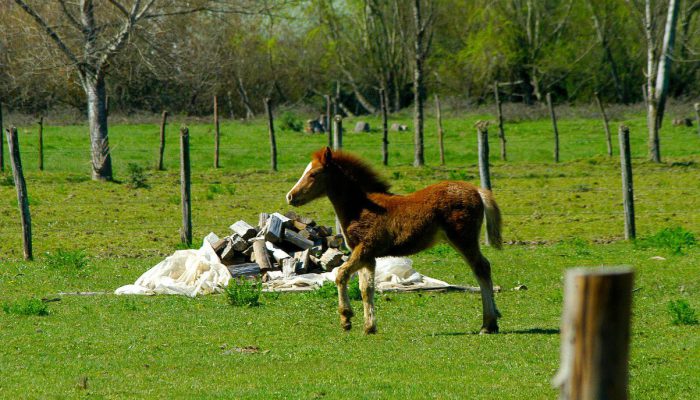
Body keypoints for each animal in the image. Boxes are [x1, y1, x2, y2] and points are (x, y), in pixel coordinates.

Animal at [286, 148, 504, 334]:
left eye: (314, 174)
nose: (290, 196)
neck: (362, 207)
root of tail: (477, 190)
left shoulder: (364, 249)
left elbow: (341, 275)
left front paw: (346, 319)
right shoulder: (368, 257)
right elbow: (366, 288)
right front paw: (369, 327)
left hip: (463, 239)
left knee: (482, 268)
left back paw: (488, 324)